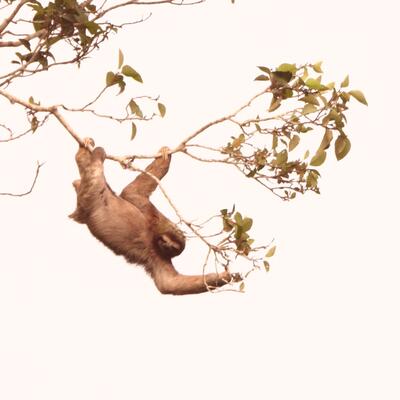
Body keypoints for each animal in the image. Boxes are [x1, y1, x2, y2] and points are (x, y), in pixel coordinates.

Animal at [69, 139, 241, 295]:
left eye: (173, 247)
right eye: (167, 241)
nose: (166, 245)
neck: (153, 238)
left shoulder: (160, 257)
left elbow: (170, 283)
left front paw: (226, 276)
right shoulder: (152, 217)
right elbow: (133, 192)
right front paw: (165, 157)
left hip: (87, 198)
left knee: (89, 173)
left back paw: (83, 154)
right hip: (92, 196)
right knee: (96, 173)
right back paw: (96, 152)